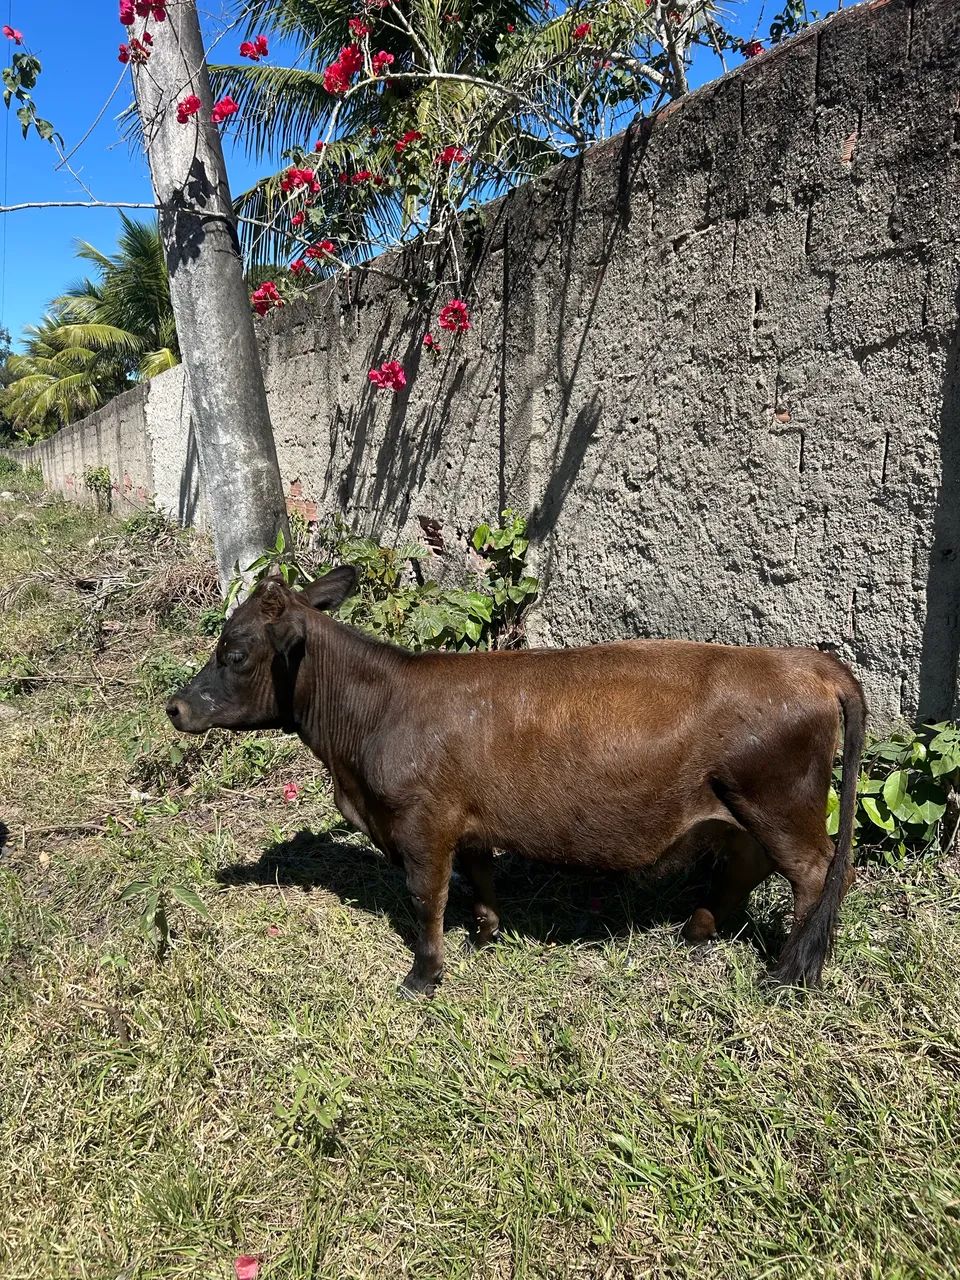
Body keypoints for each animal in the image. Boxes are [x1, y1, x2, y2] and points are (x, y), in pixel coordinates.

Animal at [166, 568, 866, 997]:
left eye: (234, 653)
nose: (175, 707)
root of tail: (806, 662)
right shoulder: (469, 823)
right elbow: (479, 876)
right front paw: (486, 932)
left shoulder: (423, 824)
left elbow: (426, 898)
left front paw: (424, 974)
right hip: (740, 805)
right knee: (749, 861)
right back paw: (699, 927)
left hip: (778, 801)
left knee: (816, 870)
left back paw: (788, 970)